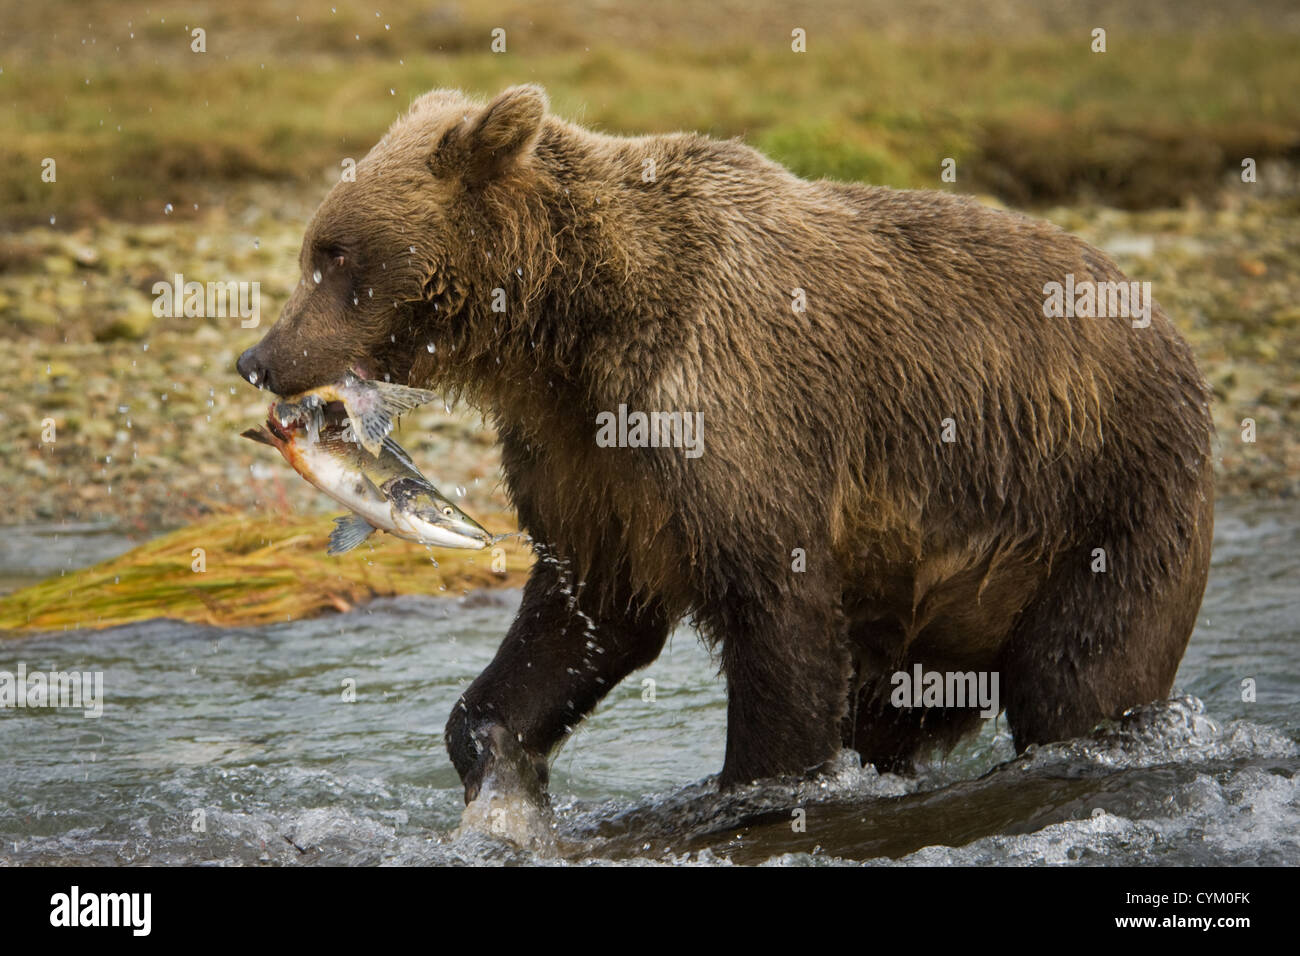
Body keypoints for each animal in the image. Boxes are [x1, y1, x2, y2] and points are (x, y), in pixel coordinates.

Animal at [236, 85, 1216, 811]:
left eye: (332, 253)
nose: (259, 357)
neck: (573, 331)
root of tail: (1169, 325)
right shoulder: (585, 452)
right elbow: (586, 610)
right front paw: (498, 755)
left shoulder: (728, 403)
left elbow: (778, 617)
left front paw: (752, 785)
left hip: (1099, 501)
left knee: (1082, 675)